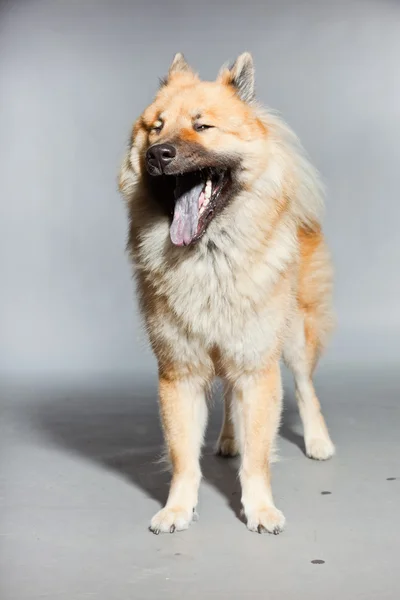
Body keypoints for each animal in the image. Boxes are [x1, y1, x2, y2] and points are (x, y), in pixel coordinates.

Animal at [118, 52, 334, 536]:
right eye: (156, 127)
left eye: (202, 126)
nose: (158, 154)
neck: (209, 257)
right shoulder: (179, 371)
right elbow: (183, 456)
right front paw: (177, 509)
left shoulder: (257, 365)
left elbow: (258, 454)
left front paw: (260, 510)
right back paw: (229, 440)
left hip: (293, 337)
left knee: (306, 387)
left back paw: (318, 441)